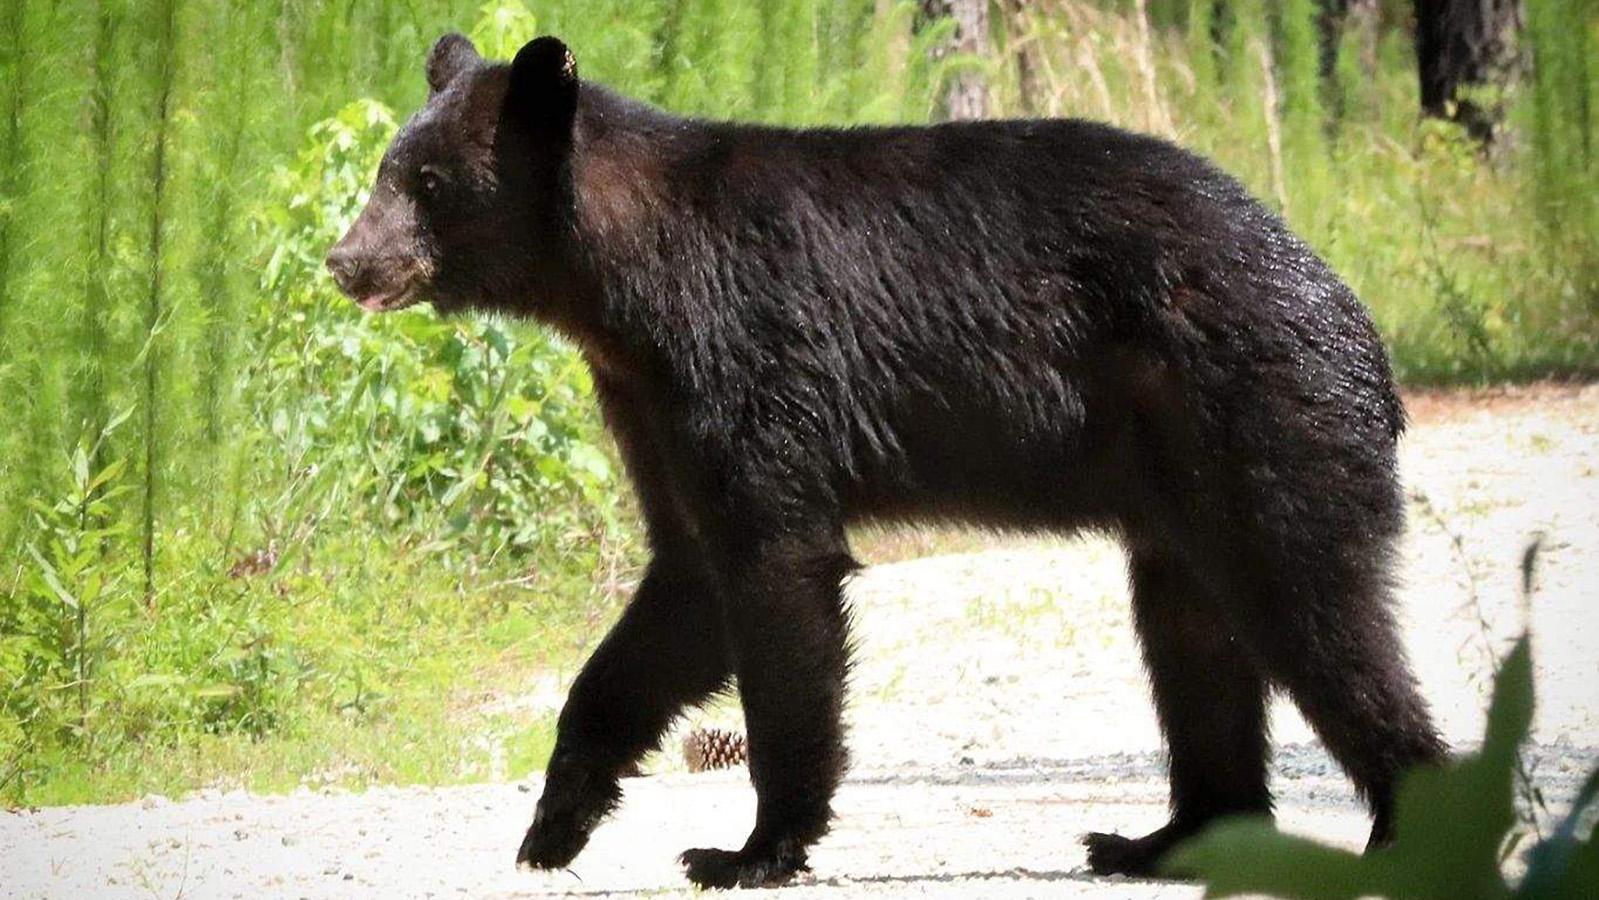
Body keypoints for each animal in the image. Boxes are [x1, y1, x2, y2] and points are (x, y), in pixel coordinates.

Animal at [324, 33, 1448, 889]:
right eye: (388, 170)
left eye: (428, 183)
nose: (345, 261)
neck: (626, 283)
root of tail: (1358, 327)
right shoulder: (648, 401)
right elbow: (680, 586)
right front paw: (554, 823)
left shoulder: (744, 357)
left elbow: (777, 574)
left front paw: (749, 849)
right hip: (1180, 484)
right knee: (1195, 641)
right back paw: (1159, 837)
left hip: (1255, 419)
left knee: (1315, 617)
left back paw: (1408, 824)